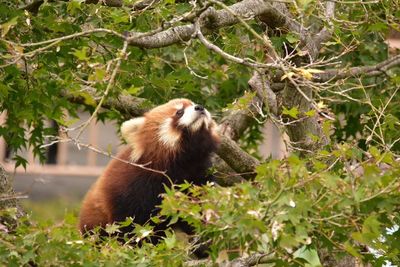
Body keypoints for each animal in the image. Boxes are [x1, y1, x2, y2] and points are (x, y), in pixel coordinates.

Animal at [79, 99, 220, 245]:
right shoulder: (132, 190)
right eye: (179, 112)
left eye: (192, 104)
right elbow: (132, 228)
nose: (200, 107)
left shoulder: (198, 176)